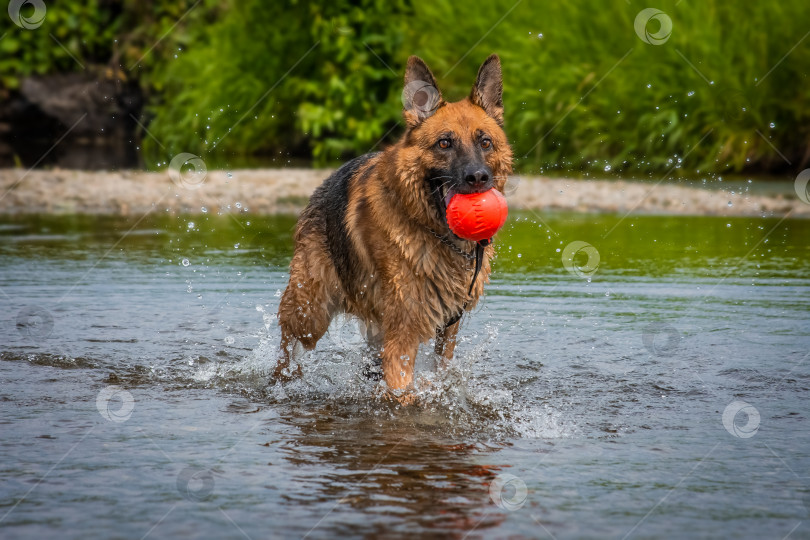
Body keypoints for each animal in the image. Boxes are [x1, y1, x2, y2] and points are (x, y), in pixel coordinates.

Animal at [272, 54, 512, 400]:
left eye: (485, 142)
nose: (478, 177)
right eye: (444, 143)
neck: (433, 233)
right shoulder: (402, 337)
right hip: (309, 314)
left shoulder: (447, 330)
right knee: (287, 349)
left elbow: (439, 368)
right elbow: (403, 394)